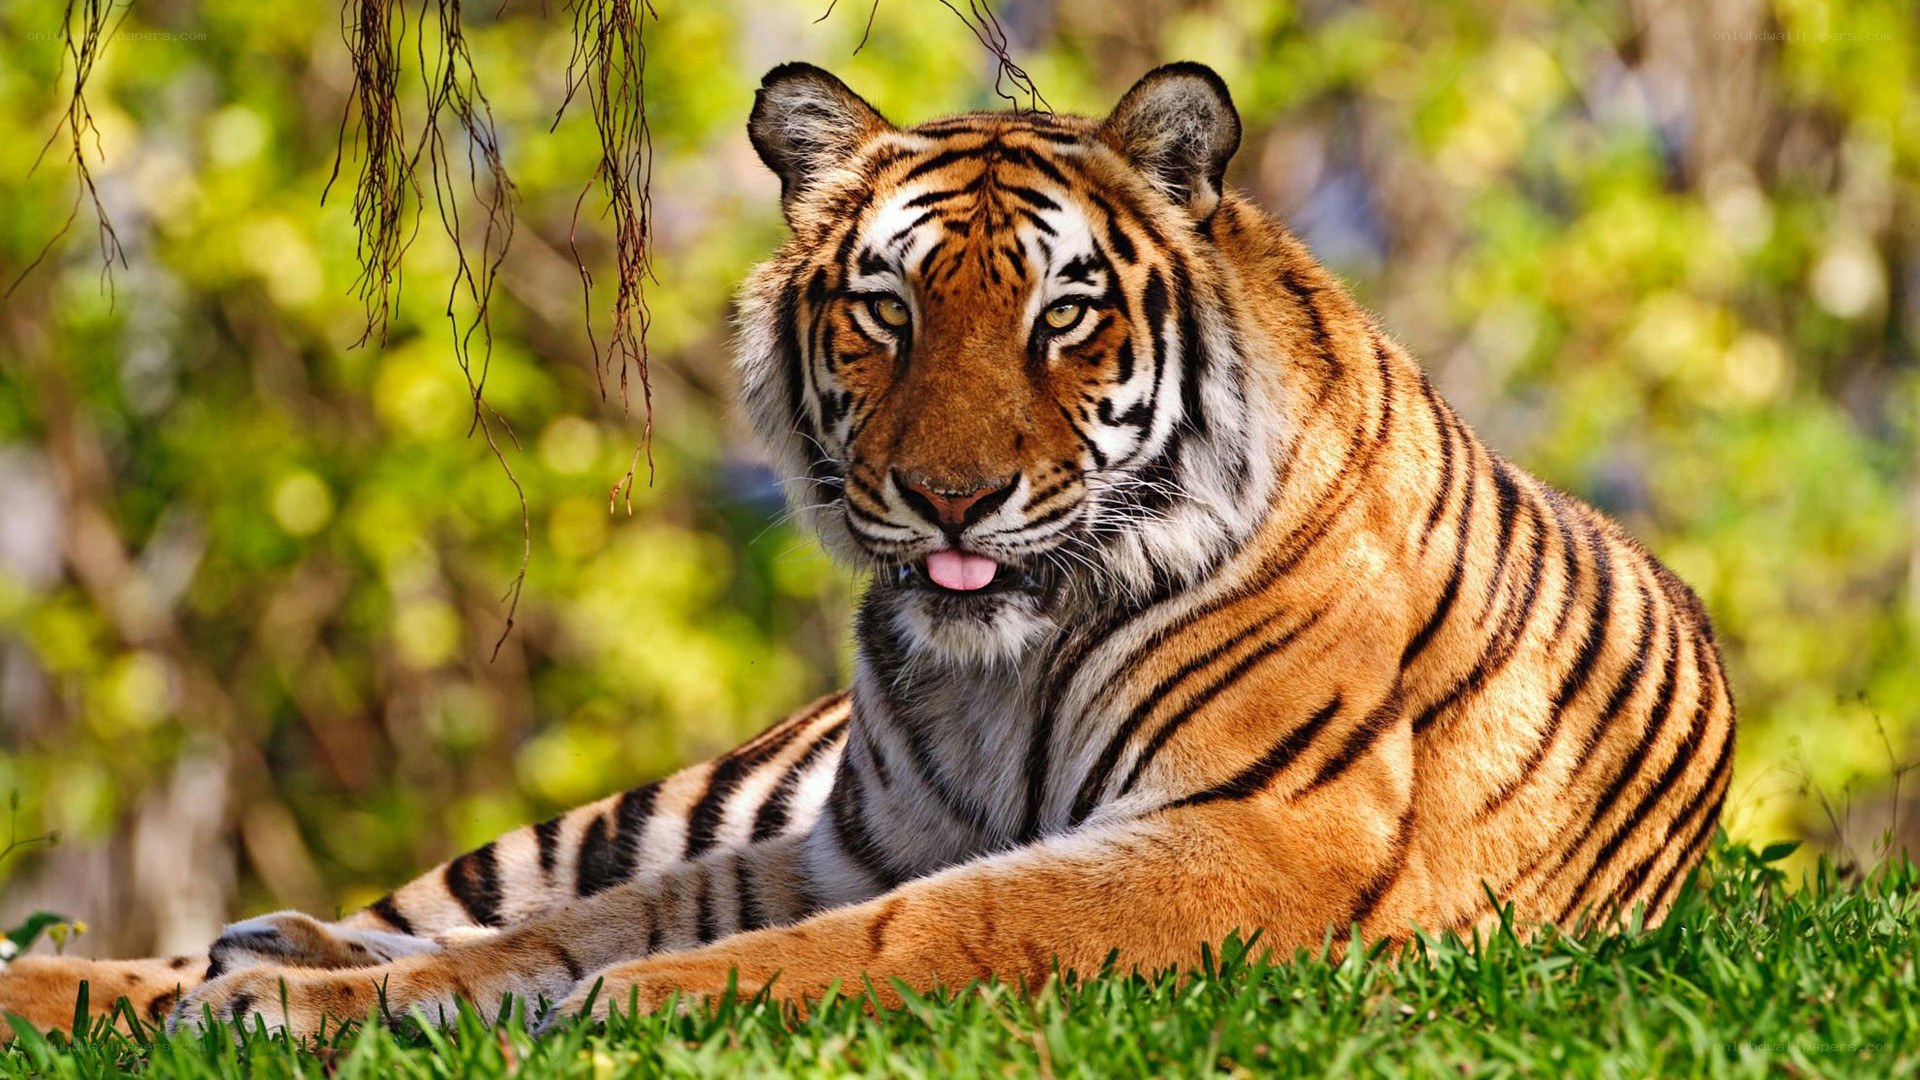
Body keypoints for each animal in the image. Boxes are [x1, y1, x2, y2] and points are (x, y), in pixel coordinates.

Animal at [0, 61, 1735, 1040]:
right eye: (886, 310)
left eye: (1064, 314)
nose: (950, 496)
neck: (1004, 664)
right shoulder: (857, 838)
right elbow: (576, 927)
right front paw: (296, 1002)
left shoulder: (1258, 837)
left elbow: (927, 928)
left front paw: (627, 1009)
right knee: (447, 903)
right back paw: (195, 966)